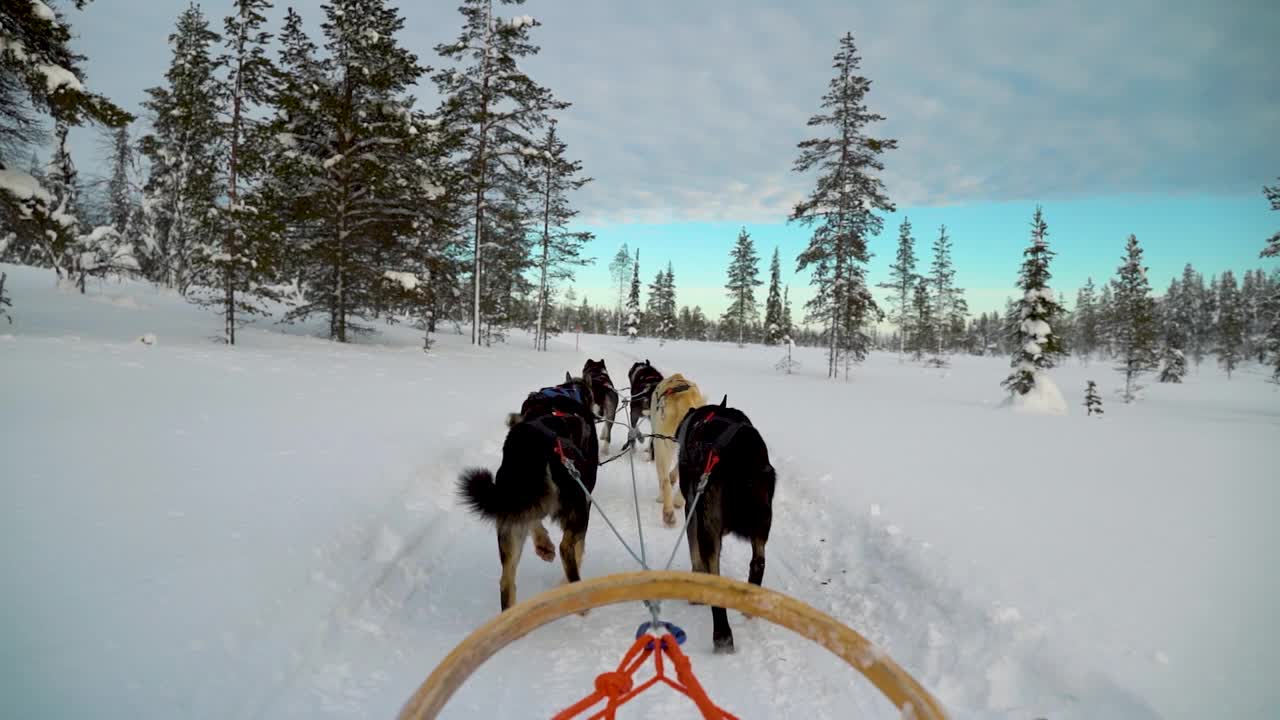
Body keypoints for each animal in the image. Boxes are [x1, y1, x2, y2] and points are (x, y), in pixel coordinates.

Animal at [460, 371, 599, 607]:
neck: (566, 392)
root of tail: (535, 443)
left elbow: (535, 521)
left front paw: (543, 545)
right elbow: (580, 549)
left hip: (509, 518)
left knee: (506, 581)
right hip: (578, 509)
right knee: (567, 548)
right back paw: (575, 590)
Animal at [675, 392, 773, 650]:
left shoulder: (691, 508)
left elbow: (694, 551)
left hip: (708, 521)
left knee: (715, 578)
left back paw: (722, 635)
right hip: (762, 523)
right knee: (758, 562)